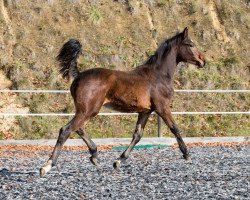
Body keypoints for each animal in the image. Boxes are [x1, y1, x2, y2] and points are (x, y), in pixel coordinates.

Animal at [40, 27, 205, 177]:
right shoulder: (162, 107)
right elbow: (175, 128)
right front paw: (186, 154)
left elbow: (137, 135)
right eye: (190, 44)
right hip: (89, 110)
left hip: (85, 110)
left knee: (79, 128)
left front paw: (118, 161)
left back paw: (94, 155)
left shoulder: (145, 111)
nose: (203, 61)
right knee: (66, 130)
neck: (159, 75)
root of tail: (78, 76)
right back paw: (47, 166)